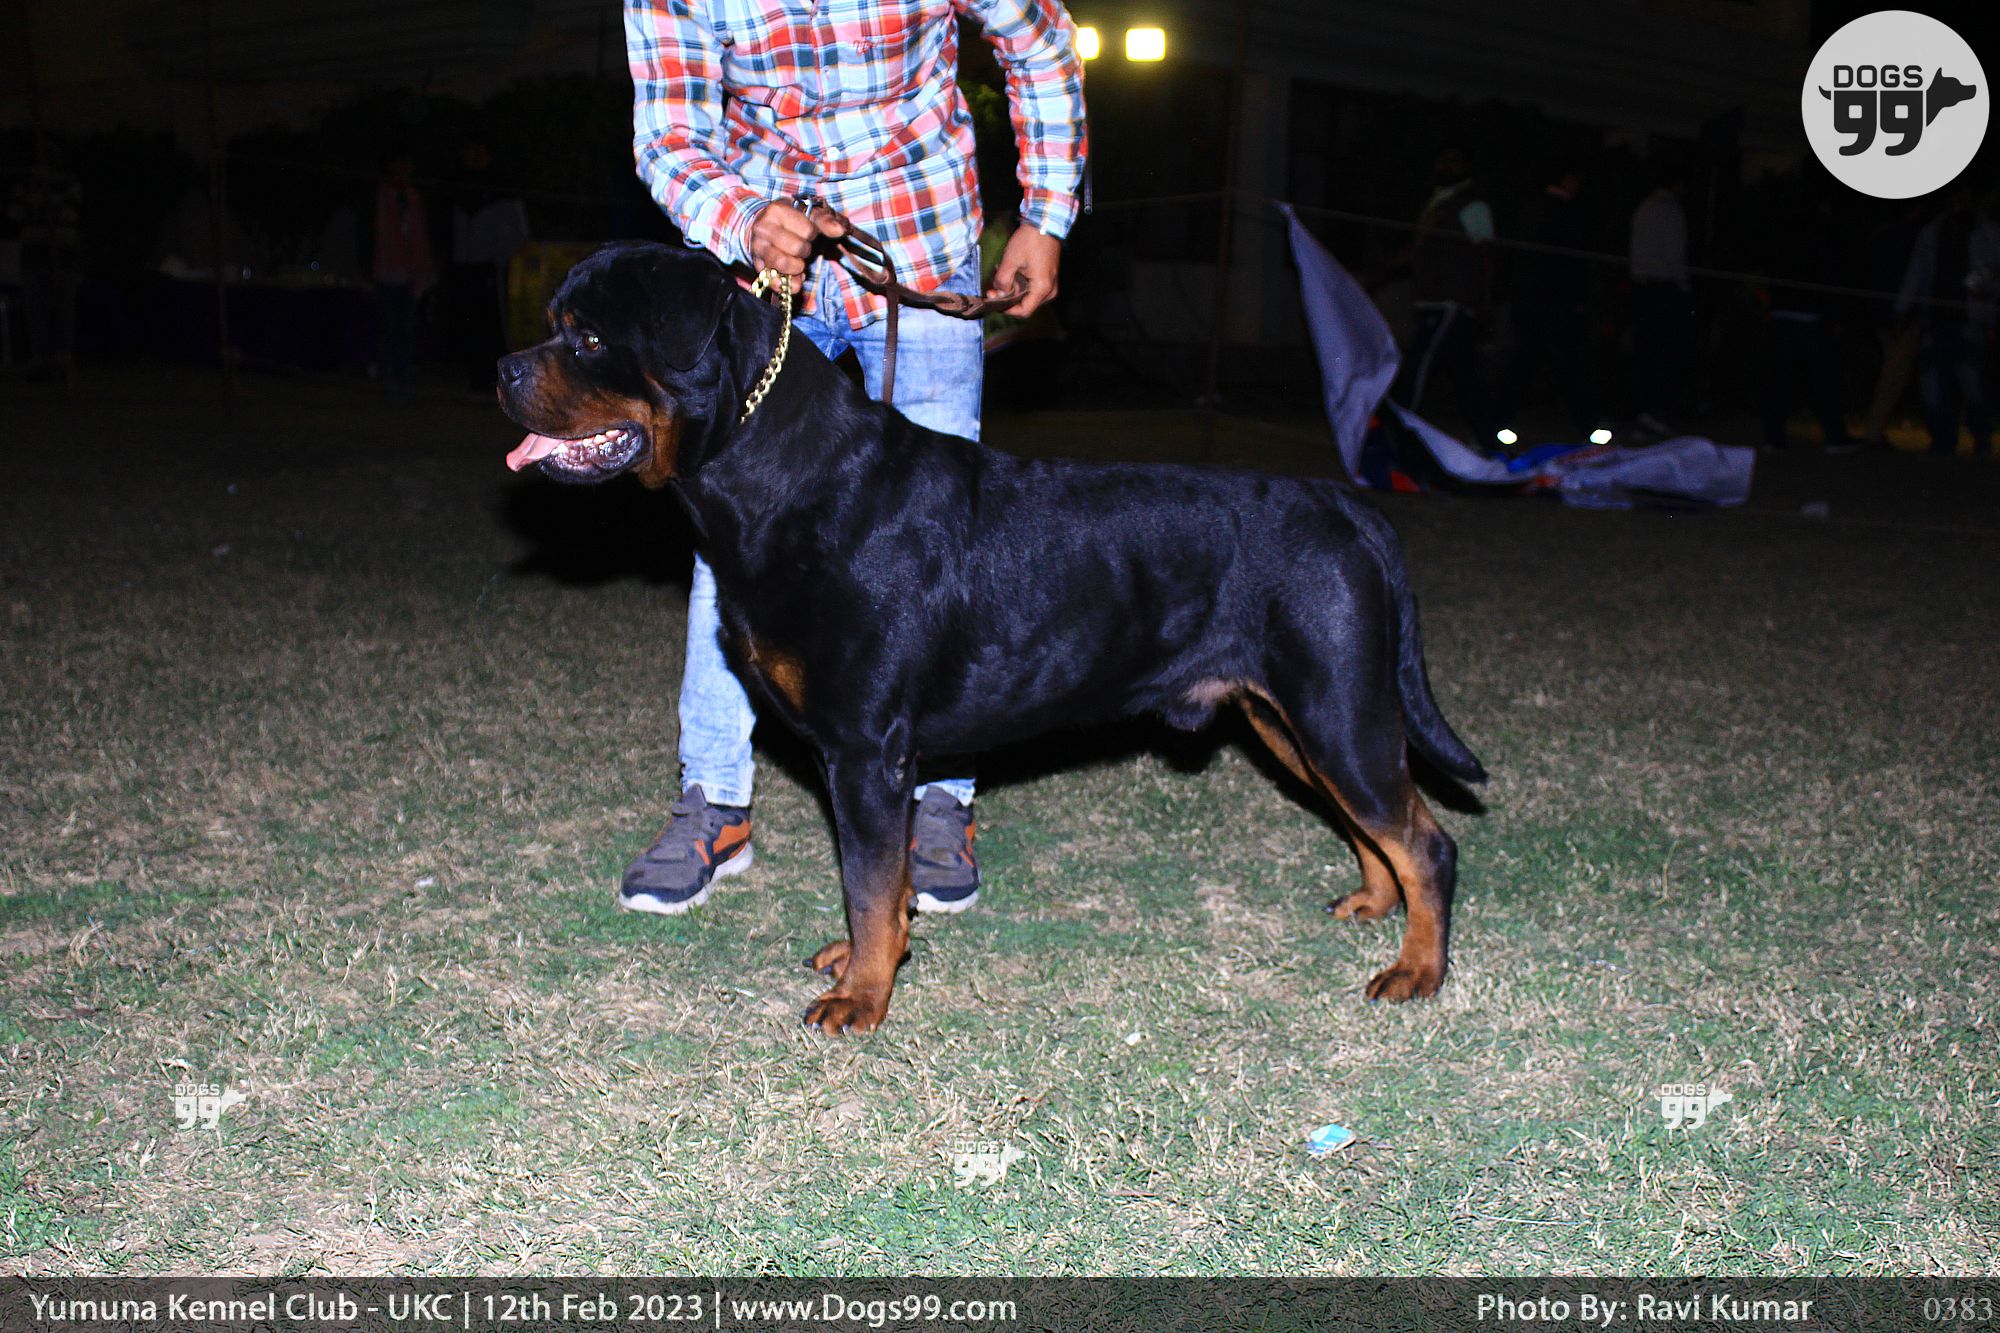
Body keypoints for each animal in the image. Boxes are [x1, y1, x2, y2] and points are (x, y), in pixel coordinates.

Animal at [498, 242, 1485, 1035]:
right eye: (552, 328)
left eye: (588, 340)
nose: (504, 368)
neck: (782, 477)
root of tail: (1349, 508)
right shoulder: (868, 757)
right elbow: (886, 883)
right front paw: (868, 959)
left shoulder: (865, 749)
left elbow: (868, 882)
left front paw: (861, 997)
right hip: (1291, 716)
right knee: (1372, 824)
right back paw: (1374, 904)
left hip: (1336, 705)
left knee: (1424, 839)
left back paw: (1416, 969)